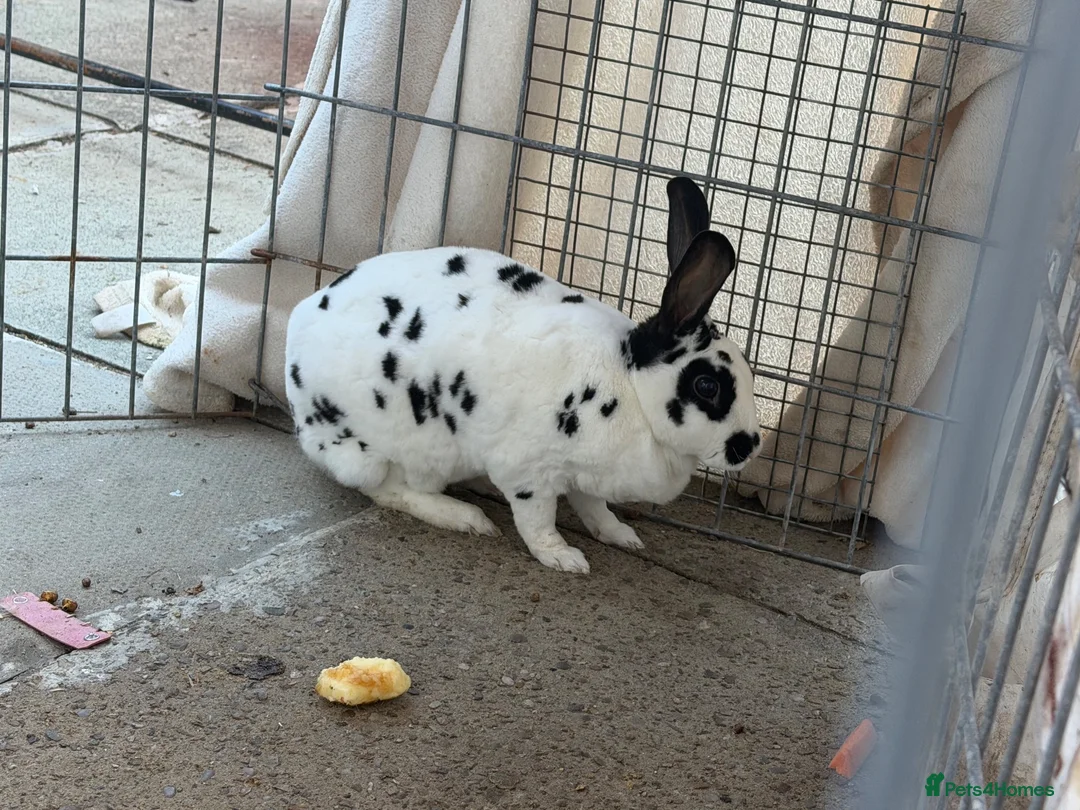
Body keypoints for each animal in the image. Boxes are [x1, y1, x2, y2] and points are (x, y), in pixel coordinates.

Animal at [285, 175, 762, 574]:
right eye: (707, 385)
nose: (749, 446)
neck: (630, 389)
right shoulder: (530, 471)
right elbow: (538, 521)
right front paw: (565, 559)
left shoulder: (587, 476)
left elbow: (595, 508)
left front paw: (621, 536)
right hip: (400, 449)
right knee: (390, 489)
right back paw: (468, 518)